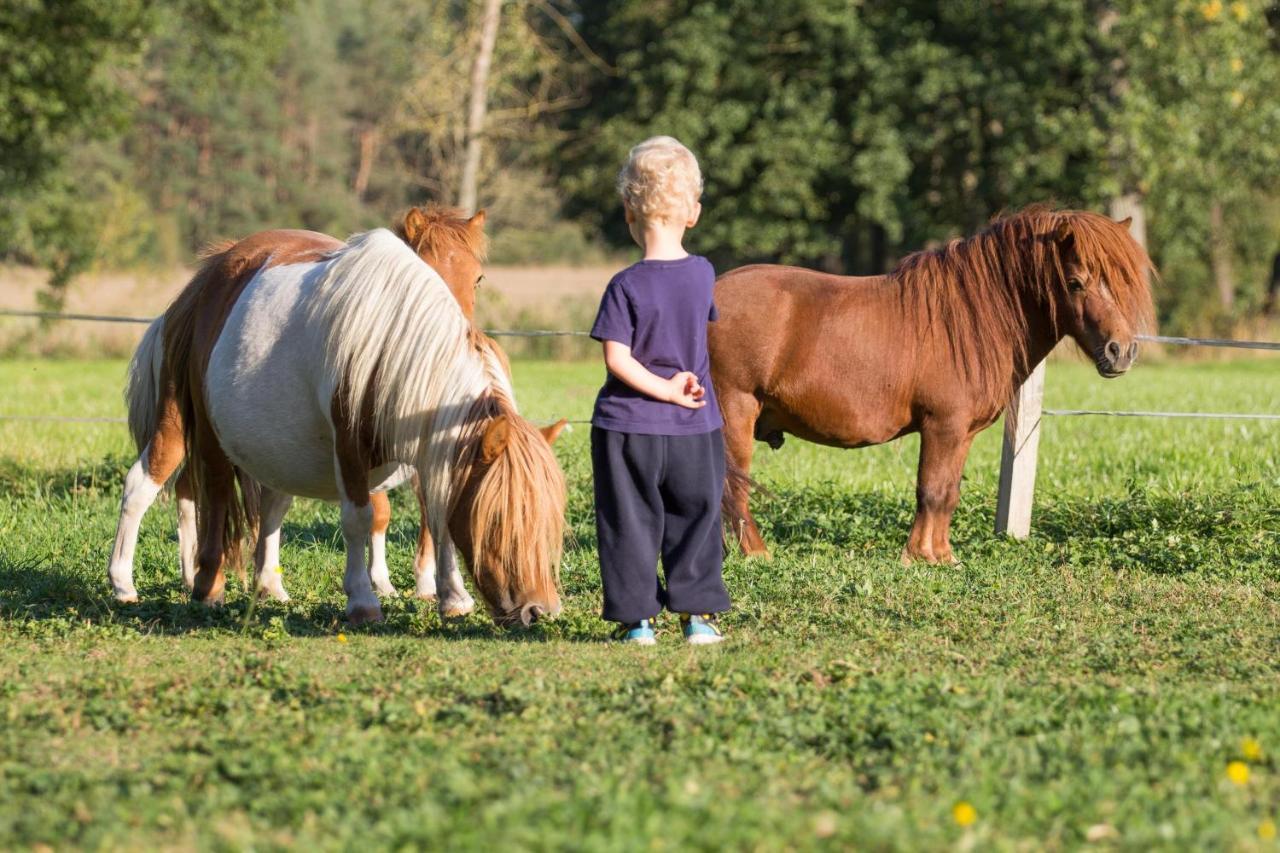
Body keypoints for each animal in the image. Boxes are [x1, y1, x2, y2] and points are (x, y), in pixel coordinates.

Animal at [716, 206, 1157, 560]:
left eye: (1122, 281)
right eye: (1076, 282)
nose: (1121, 351)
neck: (971, 317)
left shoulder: (962, 433)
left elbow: (947, 494)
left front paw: (942, 556)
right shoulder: (942, 426)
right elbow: (929, 491)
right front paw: (919, 556)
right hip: (735, 411)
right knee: (732, 488)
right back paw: (755, 553)